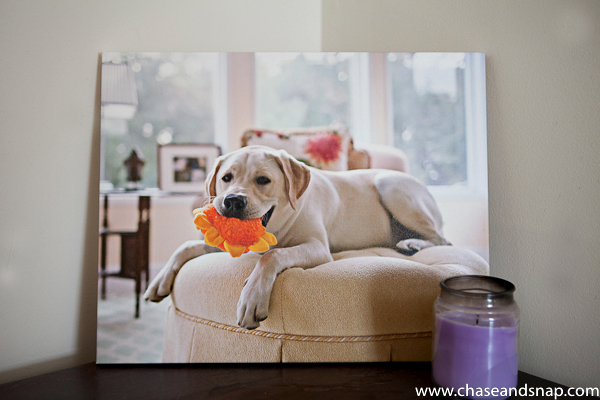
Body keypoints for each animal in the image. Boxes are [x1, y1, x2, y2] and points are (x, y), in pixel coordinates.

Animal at [143, 145, 448, 330]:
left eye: (263, 180)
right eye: (226, 177)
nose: (232, 201)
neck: (276, 227)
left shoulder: (318, 247)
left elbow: (272, 255)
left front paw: (252, 296)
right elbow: (186, 246)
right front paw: (159, 280)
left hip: (391, 186)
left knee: (444, 240)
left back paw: (413, 243)